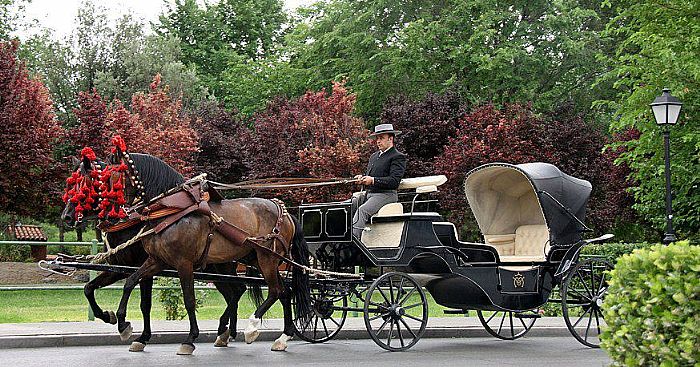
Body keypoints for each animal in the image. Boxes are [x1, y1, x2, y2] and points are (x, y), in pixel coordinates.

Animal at [59, 154, 262, 352]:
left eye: (86, 183)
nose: (66, 216)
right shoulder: (121, 268)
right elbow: (89, 288)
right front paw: (108, 316)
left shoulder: (145, 268)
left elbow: (145, 304)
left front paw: (137, 334)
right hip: (215, 269)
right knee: (234, 292)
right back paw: (227, 332)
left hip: (222, 267)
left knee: (237, 291)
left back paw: (228, 330)